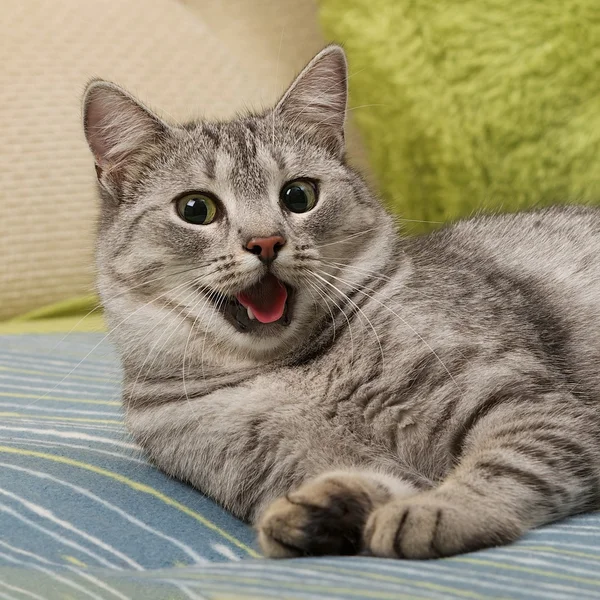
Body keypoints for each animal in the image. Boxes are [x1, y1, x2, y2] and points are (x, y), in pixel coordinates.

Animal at [82, 45, 600, 556]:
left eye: (298, 195)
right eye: (196, 209)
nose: (265, 241)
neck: (293, 370)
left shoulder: (523, 401)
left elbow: (507, 462)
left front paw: (440, 508)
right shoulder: (265, 459)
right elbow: (367, 477)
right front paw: (322, 508)